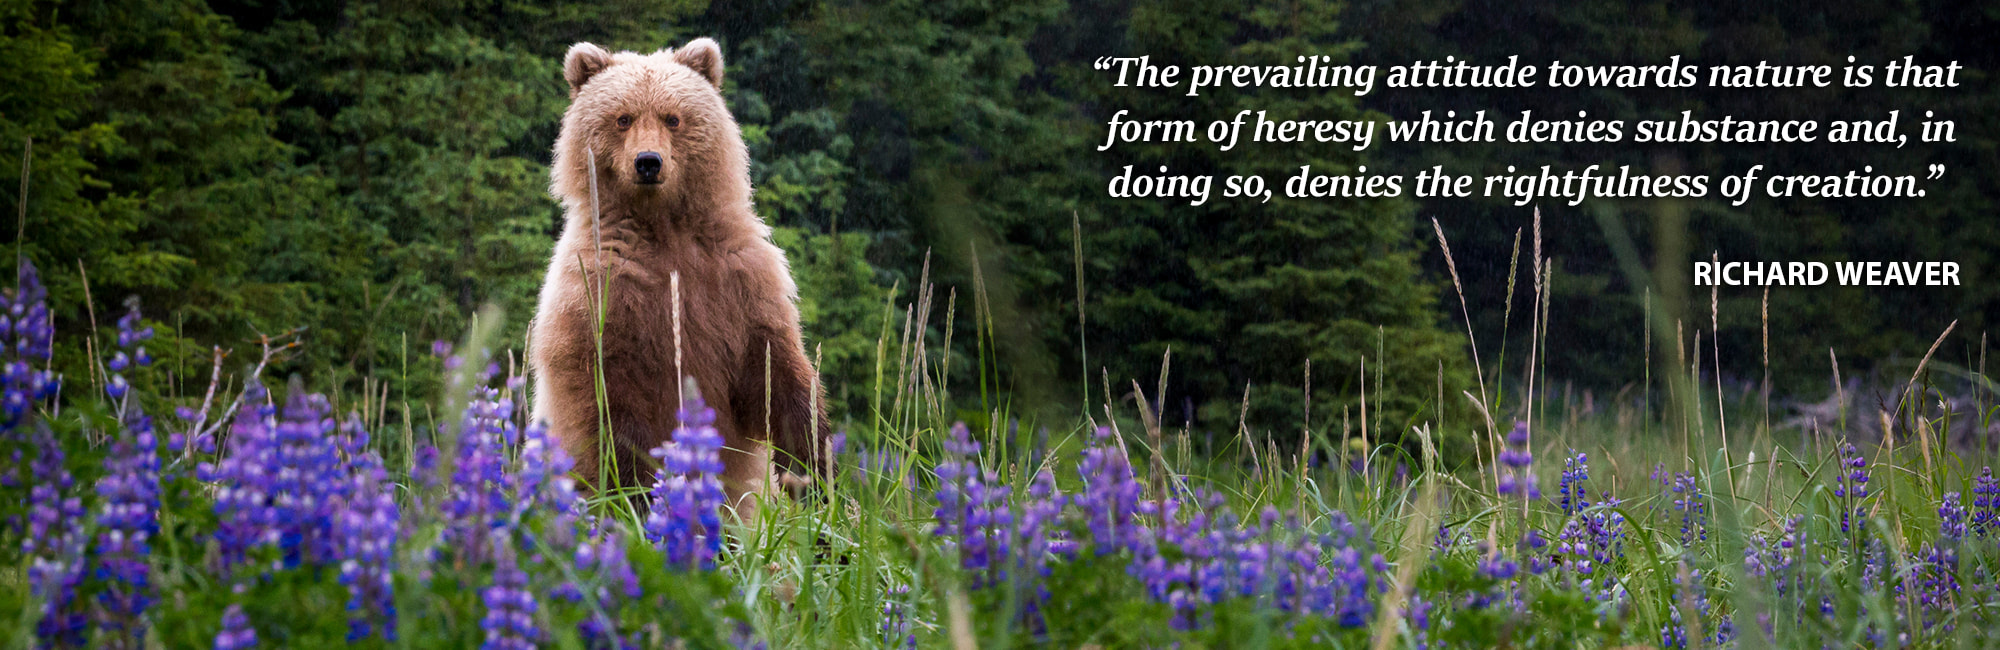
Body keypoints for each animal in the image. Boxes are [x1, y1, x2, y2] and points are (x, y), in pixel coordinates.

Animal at [529, 37, 828, 514]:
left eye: (673, 117)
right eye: (623, 118)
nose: (648, 162)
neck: (664, 226)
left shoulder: (738, 281)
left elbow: (776, 374)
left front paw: (810, 479)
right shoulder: (604, 294)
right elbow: (608, 409)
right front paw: (635, 494)